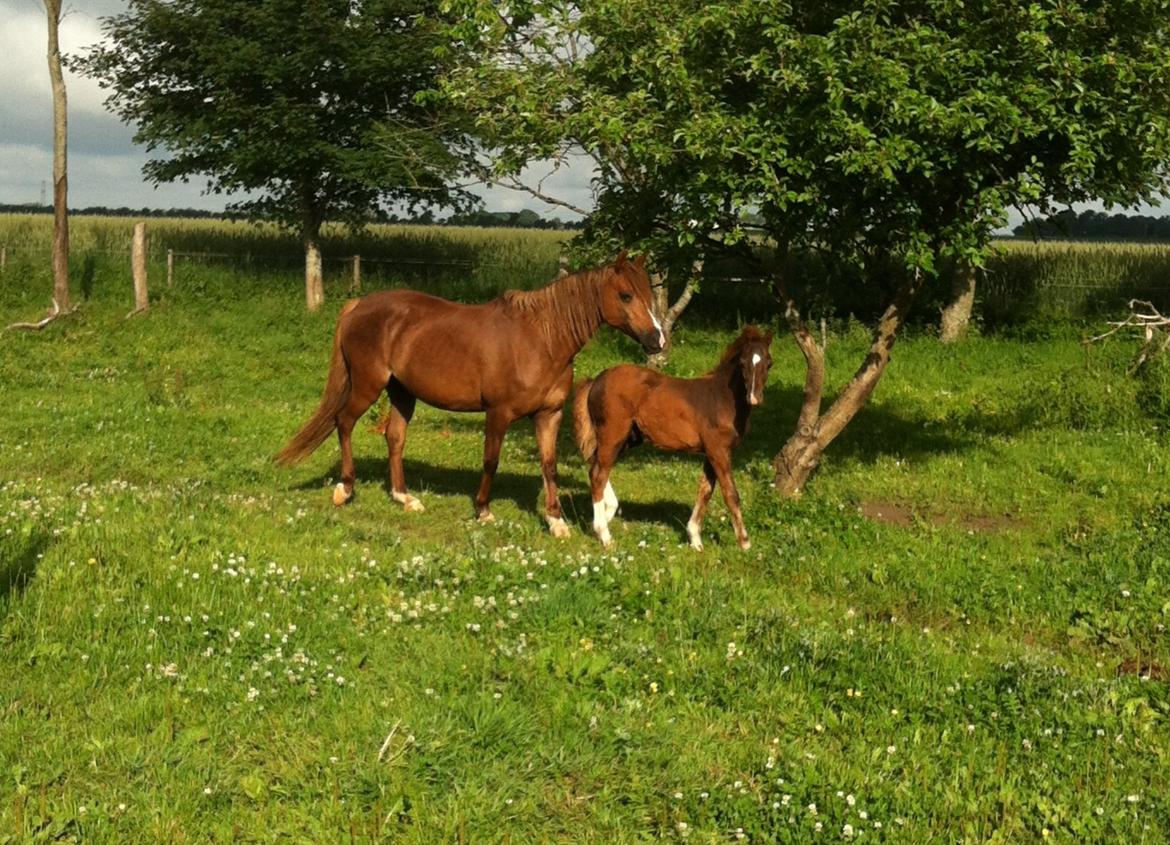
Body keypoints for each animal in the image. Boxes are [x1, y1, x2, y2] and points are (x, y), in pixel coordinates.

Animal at [276, 251, 665, 536]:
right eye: (626, 295)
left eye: (649, 295)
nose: (657, 340)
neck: (541, 340)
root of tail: (359, 305)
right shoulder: (498, 413)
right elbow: (491, 460)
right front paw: (483, 511)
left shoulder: (549, 415)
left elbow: (549, 464)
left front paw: (556, 522)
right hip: (367, 385)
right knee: (343, 422)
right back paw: (345, 489)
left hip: (402, 392)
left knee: (395, 437)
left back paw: (405, 498)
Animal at [572, 325, 773, 551]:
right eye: (743, 363)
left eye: (769, 362)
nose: (754, 398)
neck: (723, 399)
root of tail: (596, 381)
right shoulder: (719, 451)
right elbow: (730, 493)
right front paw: (745, 543)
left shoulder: (711, 452)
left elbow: (705, 490)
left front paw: (695, 539)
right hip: (612, 435)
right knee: (598, 474)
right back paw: (604, 535)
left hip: (627, 438)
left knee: (594, 467)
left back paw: (605, 516)